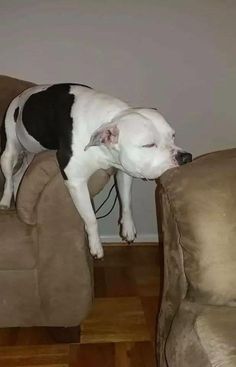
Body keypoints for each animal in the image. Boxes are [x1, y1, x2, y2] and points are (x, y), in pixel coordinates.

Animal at [0, 84, 192, 258]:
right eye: (149, 145)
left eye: (173, 136)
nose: (186, 157)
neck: (110, 118)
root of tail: (21, 95)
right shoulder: (76, 181)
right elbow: (91, 218)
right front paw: (95, 245)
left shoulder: (124, 170)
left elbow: (126, 201)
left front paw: (128, 228)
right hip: (9, 150)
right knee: (9, 176)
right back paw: (5, 200)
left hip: (30, 153)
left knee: (19, 175)